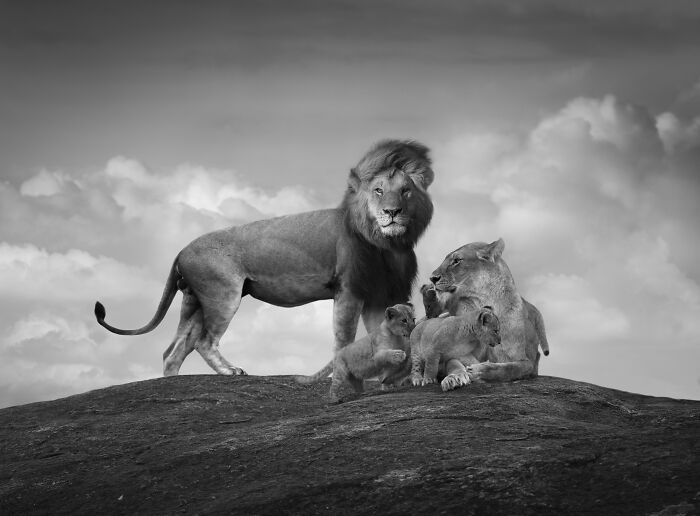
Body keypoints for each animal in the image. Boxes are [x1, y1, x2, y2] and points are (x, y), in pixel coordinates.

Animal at [94, 140, 434, 377]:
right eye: (378, 190)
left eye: (405, 191)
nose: (392, 212)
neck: (387, 243)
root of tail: (180, 250)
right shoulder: (349, 290)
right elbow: (344, 337)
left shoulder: (378, 294)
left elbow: (380, 332)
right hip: (222, 295)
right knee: (204, 341)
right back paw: (231, 371)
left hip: (194, 302)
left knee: (173, 350)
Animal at [428, 238, 549, 383]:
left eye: (456, 260)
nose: (432, 278)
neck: (483, 301)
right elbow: (453, 362)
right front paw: (455, 377)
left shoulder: (525, 361)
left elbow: (509, 368)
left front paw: (478, 370)